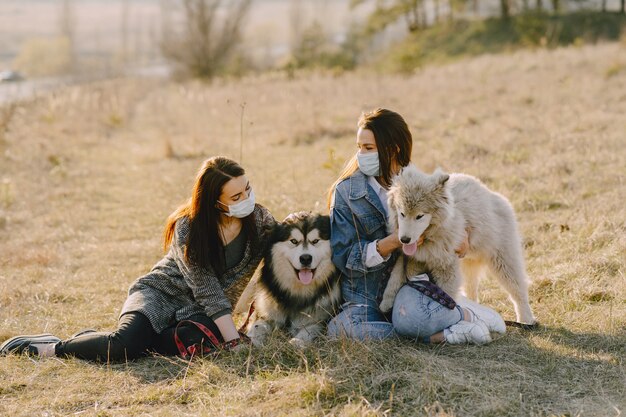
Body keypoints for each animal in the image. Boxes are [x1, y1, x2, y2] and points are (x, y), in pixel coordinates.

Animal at [245, 211, 342, 344]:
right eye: (294, 241)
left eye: (315, 241)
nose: (305, 258)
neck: (297, 293)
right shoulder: (265, 310)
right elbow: (257, 325)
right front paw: (253, 340)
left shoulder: (321, 319)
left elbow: (309, 331)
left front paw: (295, 343)